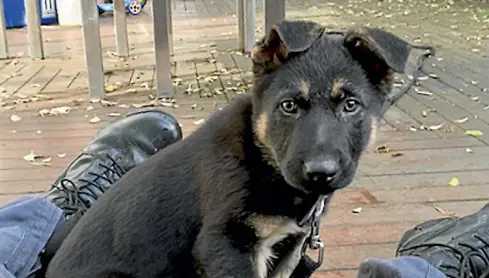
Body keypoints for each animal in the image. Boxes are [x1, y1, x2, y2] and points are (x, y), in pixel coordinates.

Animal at [47, 20, 416, 278]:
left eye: (351, 105)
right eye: (289, 106)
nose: (320, 172)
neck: (264, 160)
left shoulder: (287, 248)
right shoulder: (226, 243)